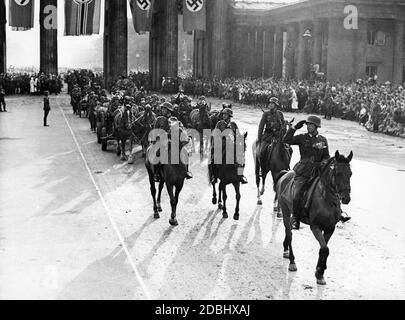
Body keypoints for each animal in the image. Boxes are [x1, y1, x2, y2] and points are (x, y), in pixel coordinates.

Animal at [274, 150, 352, 284]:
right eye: (338, 173)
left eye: (350, 173)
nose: (346, 198)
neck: (326, 199)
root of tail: (285, 174)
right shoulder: (315, 227)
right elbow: (325, 249)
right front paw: (320, 271)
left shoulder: (330, 228)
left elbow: (323, 249)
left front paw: (319, 271)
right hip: (285, 209)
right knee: (289, 233)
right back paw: (292, 261)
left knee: (289, 230)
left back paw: (286, 249)